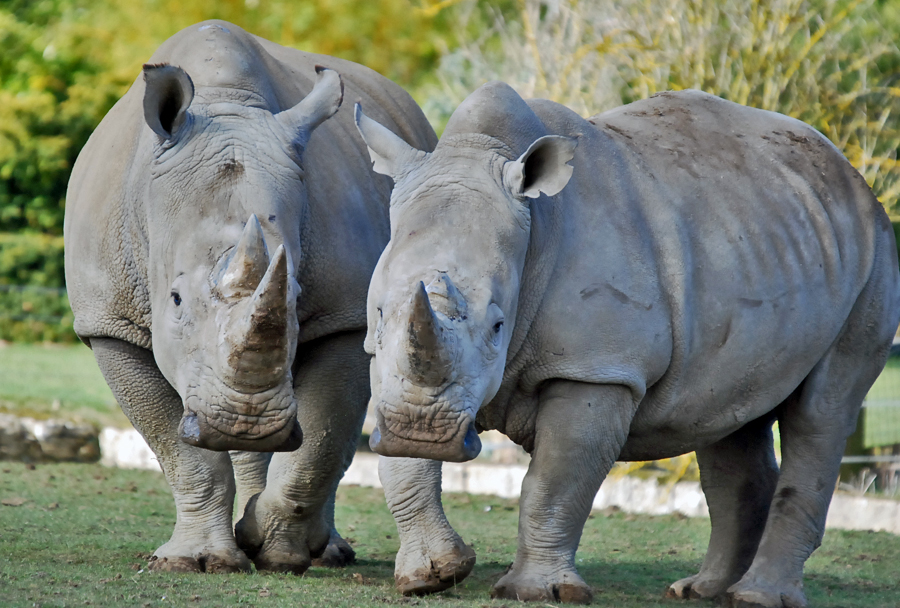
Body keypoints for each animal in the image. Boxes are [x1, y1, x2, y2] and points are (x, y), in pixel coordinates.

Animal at [64, 21, 435, 573]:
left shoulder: (345, 314)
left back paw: (325, 550)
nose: (247, 422)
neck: (225, 106)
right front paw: (195, 560)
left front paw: (275, 548)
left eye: (296, 293)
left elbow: (320, 438)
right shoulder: (109, 323)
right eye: (175, 300)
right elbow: (178, 449)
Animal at [353, 83, 900, 606]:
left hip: (875, 253)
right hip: (768, 242)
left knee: (822, 413)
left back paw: (757, 598)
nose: (423, 431)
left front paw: (537, 593)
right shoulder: (388, 364)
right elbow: (401, 469)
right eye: (378, 314)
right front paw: (431, 576)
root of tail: (853, 176)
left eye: (497, 327)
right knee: (730, 419)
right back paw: (702, 591)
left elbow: (554, 480)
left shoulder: (598, 368)